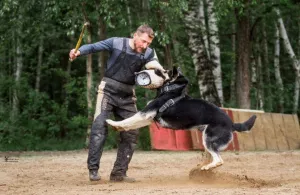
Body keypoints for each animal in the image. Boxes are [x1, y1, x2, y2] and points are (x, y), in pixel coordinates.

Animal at [106, 66, 256, 171]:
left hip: (208, 139)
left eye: (157, 71)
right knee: (214, 157)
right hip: (207, 139)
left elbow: (129, 120)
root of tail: (232, 124)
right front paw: (118, 126)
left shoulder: (145, 113)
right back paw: (204, 165)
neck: (170, 89)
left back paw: (207, 167)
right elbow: (131, 124)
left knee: (219, 160)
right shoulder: (147, 118)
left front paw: (112, 122)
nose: (137, 73)